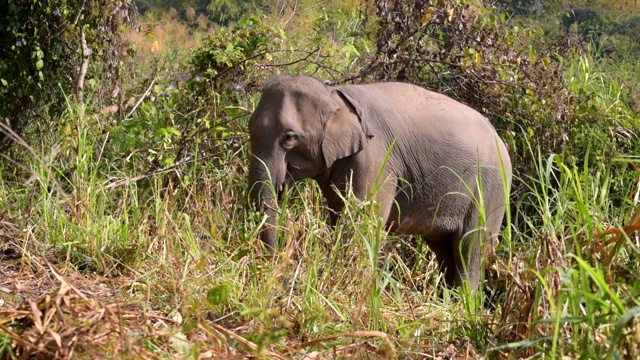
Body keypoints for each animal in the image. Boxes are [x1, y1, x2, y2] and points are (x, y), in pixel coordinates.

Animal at [248, 75, 512, 290]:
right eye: (250, 129)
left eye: (289, 138)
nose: (278, 271)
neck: (334, 94)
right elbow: (340, 216)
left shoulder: (375, 159)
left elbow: (359, 223)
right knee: (444, 248)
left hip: (490, 191)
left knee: (471, 247)